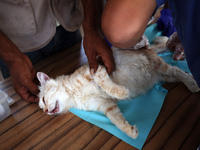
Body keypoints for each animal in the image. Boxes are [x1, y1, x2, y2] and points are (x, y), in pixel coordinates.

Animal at [36, 36, 199, 139]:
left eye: (43, 100)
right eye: (42, 108)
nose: (45, 112)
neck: (74, 95)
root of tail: (146, 49)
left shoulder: (97, 70)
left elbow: (107, 85)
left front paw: (122, 92)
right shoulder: (105, 105)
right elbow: (117, 120)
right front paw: (130, 131)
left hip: (162, 67)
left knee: (176, 69)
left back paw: (193, 85)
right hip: (164, 76)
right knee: (179, 72)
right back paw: (191, 77)